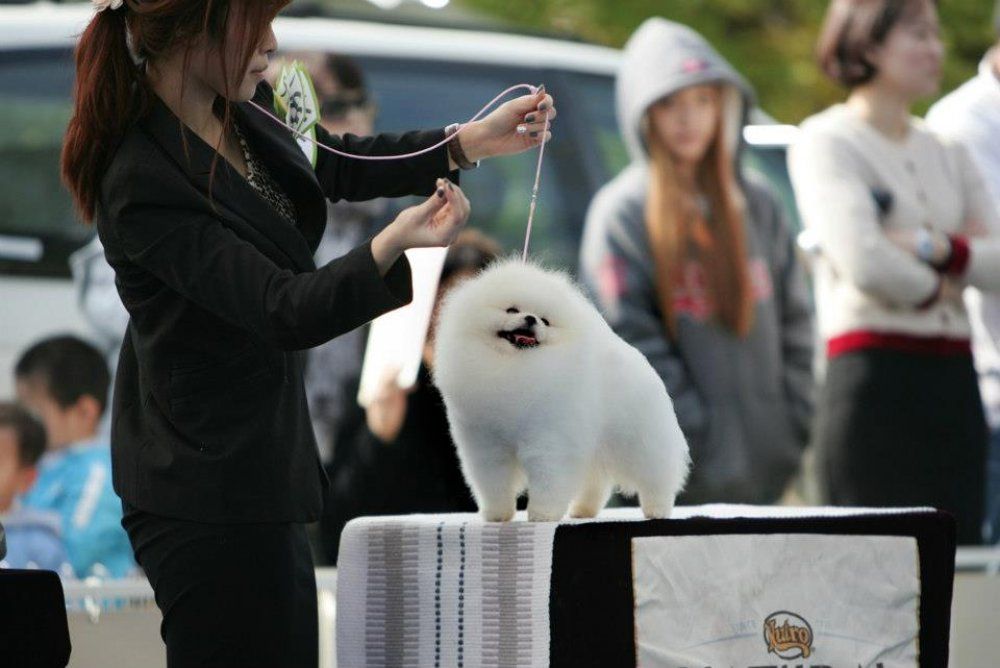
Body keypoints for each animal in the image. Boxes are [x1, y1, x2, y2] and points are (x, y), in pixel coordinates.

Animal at [434, 258, 692, 524]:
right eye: (512, 310)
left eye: (545, 321)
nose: (531, 318)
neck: (514, 368)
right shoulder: (486, 443)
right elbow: (493, 482)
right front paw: (497, 515)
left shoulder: (549, 438)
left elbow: (548, 478)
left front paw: (542, 514)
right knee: (595, 484)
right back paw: (583, 510)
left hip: (641, 441)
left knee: (657, 475)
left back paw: (657, 509)